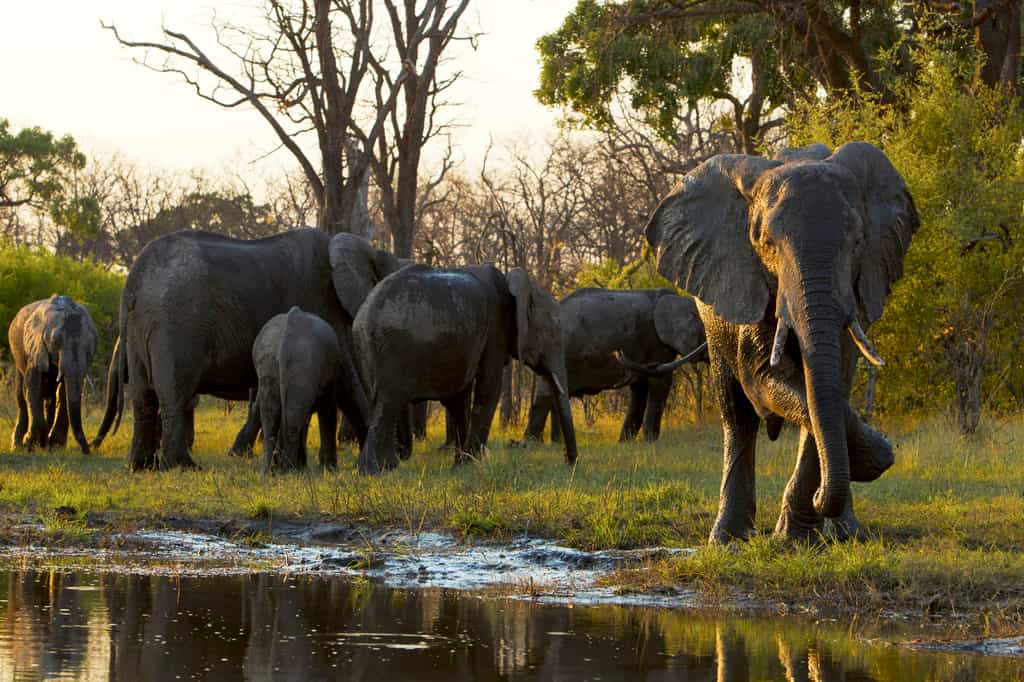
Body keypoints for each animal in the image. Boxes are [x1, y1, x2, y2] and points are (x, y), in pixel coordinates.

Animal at [8, 295, 98, 454]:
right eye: (55, 341)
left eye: (90, 346)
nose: (87, 449)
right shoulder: (35, 347)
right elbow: (31, 388)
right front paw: (29, 444)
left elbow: (64, 392)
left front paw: (55, 445)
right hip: (17, 356)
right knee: (21, 396)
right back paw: (18, 446)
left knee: (50, 399)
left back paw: (45, 445)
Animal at [253, 307, 345, 473]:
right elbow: (328, 409)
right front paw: (330, 469)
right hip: (304, 364)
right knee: (293, 420)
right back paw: (289, 470)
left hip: (268, 362)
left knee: (271, 415)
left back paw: (268, 471)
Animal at [352, 264, 577, 474]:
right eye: (551, 333)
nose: (569, 463)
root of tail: (363, 314)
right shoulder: (495, 329)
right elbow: (488, 389)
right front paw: (473, 464)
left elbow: (460, 397)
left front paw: (462, 465)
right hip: (392, 350)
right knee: (388, 403)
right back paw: (371, 471)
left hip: (368, 353)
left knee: (380, 404)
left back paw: (387, 467)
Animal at [522, 288, 707, 444]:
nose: (618, 354)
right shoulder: (656, 342)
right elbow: (659, 383)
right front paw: (649, 443)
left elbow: (640, 389)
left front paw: (625, 443)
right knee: (547, 395)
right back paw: (532, 444)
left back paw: (554, 443)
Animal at [645, 141, 918, 544]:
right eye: (767, 244)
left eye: (856, 243)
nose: (823, 496)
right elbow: (765, 380)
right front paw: (874, 458)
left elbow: (828, 387)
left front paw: (798, 536)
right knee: (736, 414)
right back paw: (727, 539)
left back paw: (846, 533)